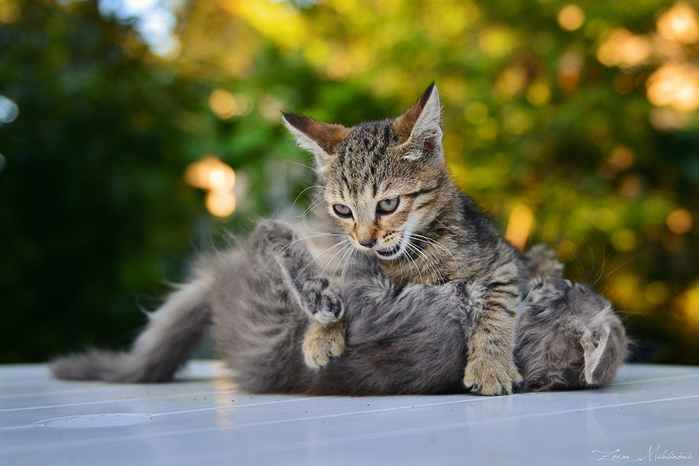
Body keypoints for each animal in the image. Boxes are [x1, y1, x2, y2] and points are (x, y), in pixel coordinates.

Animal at [50, 220, 628, 396]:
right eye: (573, 285)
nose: (560, 278)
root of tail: (218, 286)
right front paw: (536, 257)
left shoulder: (380, 299)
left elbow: (368, 267)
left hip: (269, 279)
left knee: (273, 238)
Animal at [284, 83, 532, 394]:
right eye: (342, 210)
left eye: (388, 204)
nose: (365, 241)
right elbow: (343, 283)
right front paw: (322, 332)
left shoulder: (502, 261)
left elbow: (496, 308)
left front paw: (491, 367)